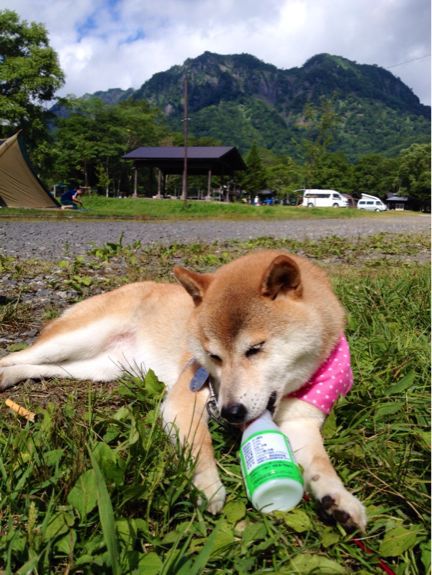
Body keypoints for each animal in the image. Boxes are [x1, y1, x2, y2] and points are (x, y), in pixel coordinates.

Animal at [0, 250, 366, 530]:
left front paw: (339, 499)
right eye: (213, 356)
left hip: (97, 366)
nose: (230, 412)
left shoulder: (302, 420)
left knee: (40, 367)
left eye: (256, 348)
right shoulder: (186, 396)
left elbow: (320, 462)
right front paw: (208, 486)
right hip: (76, 338)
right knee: (18, 355)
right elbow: (201, 444)